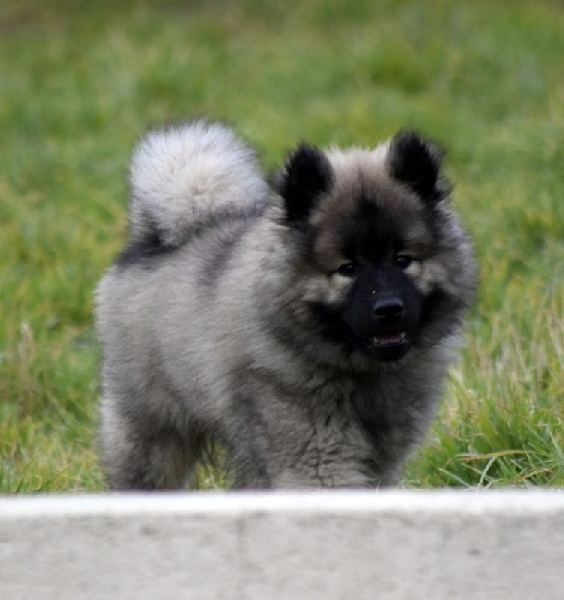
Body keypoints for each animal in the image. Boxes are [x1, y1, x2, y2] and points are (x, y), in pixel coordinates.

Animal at [96, 119, 476, 490]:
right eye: (347, 268)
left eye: (403, 260)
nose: (388, 309)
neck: (358, 371)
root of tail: (152, 239)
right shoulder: (316, 456)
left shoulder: (380, 459)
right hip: (154, 430)